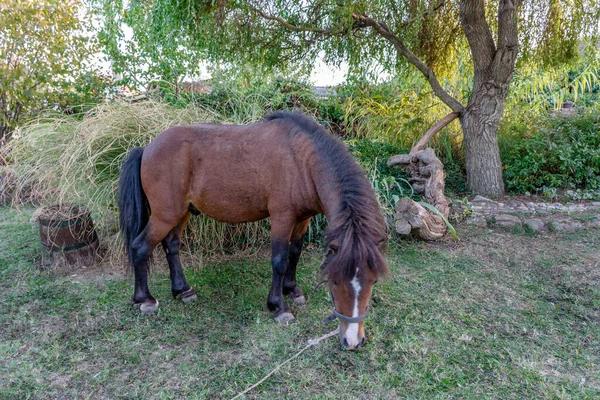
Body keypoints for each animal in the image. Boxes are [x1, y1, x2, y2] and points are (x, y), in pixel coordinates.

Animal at [118, 111, 390, 348]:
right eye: (335, 281)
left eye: (373, 280)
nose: (353, 340)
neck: (301, 160)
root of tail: (146, 148)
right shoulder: (282, 218)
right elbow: (280, 261)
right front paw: (278, 307)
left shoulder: (302, 219)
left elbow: (295, 254)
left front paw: (292, 290)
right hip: (165, 215)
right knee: (140, 247)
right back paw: (145, 299)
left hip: (182, 213)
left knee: (171, 246)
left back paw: (183, 291)